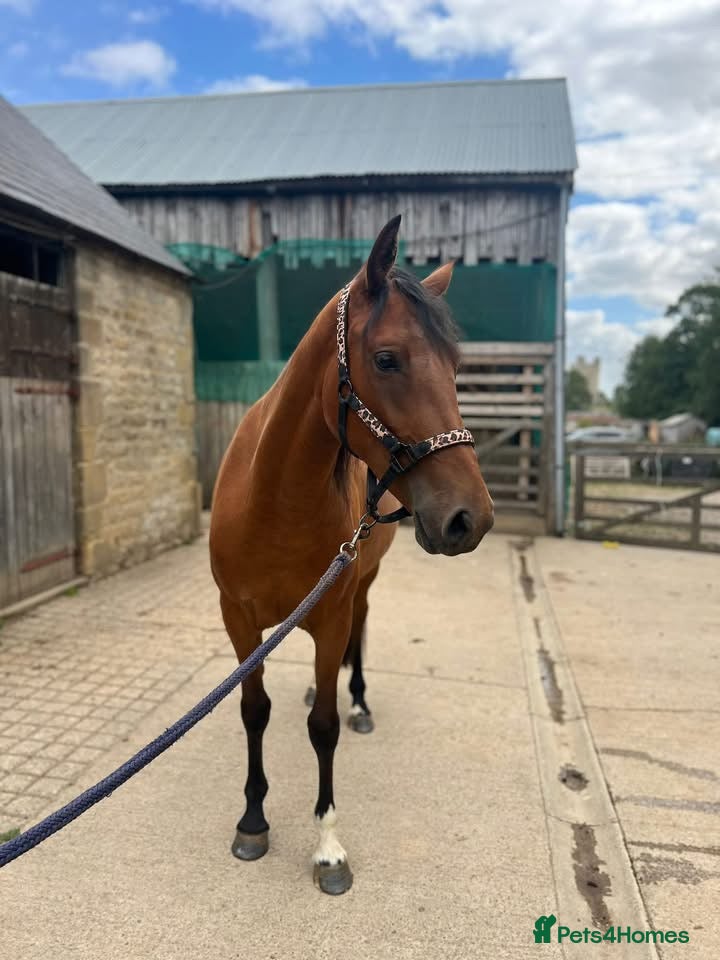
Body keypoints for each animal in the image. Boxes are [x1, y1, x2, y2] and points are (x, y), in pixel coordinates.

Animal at [209, 215, 494, 895]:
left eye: (455, 366)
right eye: (387, 359)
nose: (469, 519)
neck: (273, 501)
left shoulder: (332, 611)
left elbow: (325, 729)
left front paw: (328, 849)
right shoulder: (239, 620)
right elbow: (253, 709)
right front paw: (253, 821)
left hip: (362, 582)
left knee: (360, 633)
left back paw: (357, 698)